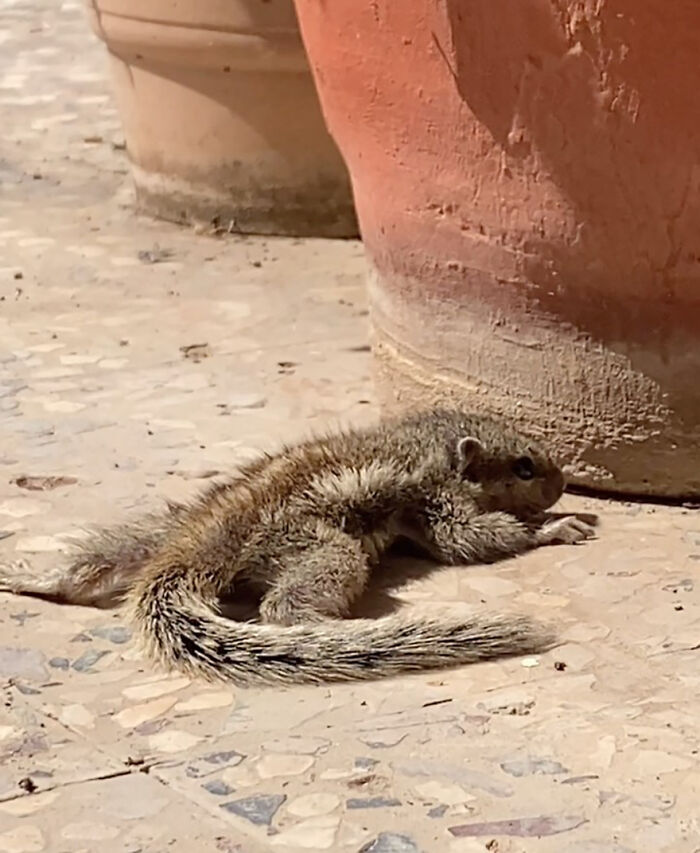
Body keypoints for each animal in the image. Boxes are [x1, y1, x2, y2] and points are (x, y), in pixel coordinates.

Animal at [0, 409, 596, 685]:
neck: (421, 437)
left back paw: (35, 576)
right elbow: (468, 539)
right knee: (280, 607)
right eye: (524, 466)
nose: (563, 483)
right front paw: (555, 525)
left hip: (155, 530)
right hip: (321, 549)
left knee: (96, 560)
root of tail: (203, 538)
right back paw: (327, 626)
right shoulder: (436, 500)